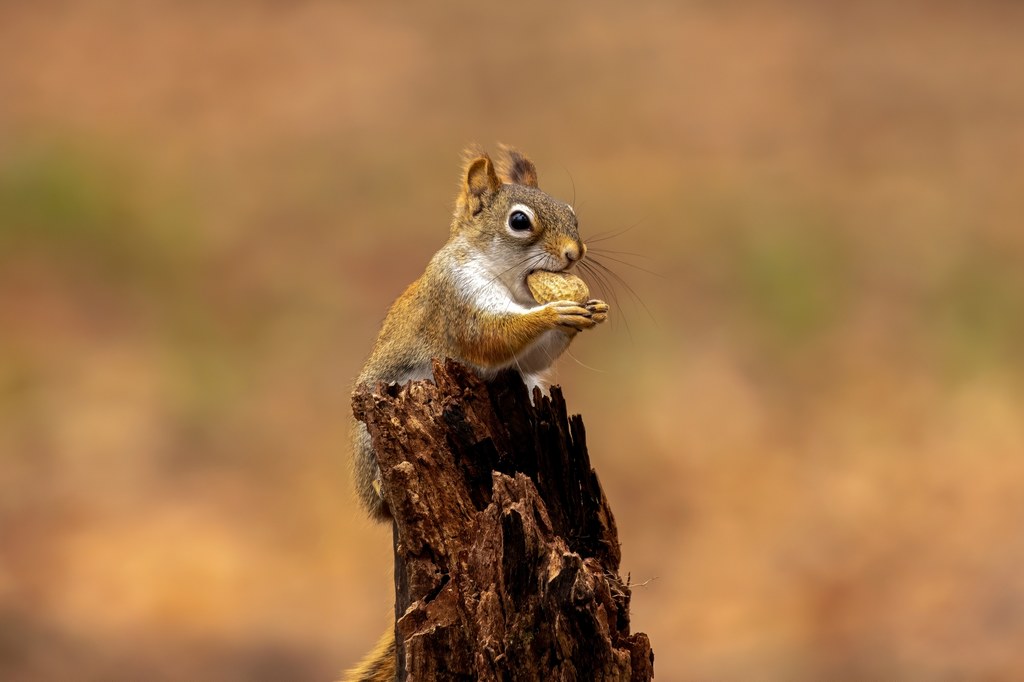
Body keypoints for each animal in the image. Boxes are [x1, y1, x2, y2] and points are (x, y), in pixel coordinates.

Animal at [348, 146, 606, 675]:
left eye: (571, 212)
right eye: (519, 222)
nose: (575, 254)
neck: (510, 280)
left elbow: (529, 358)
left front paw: (584, 313)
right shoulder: (457, 296)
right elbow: (489, 337)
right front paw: (556, 312)